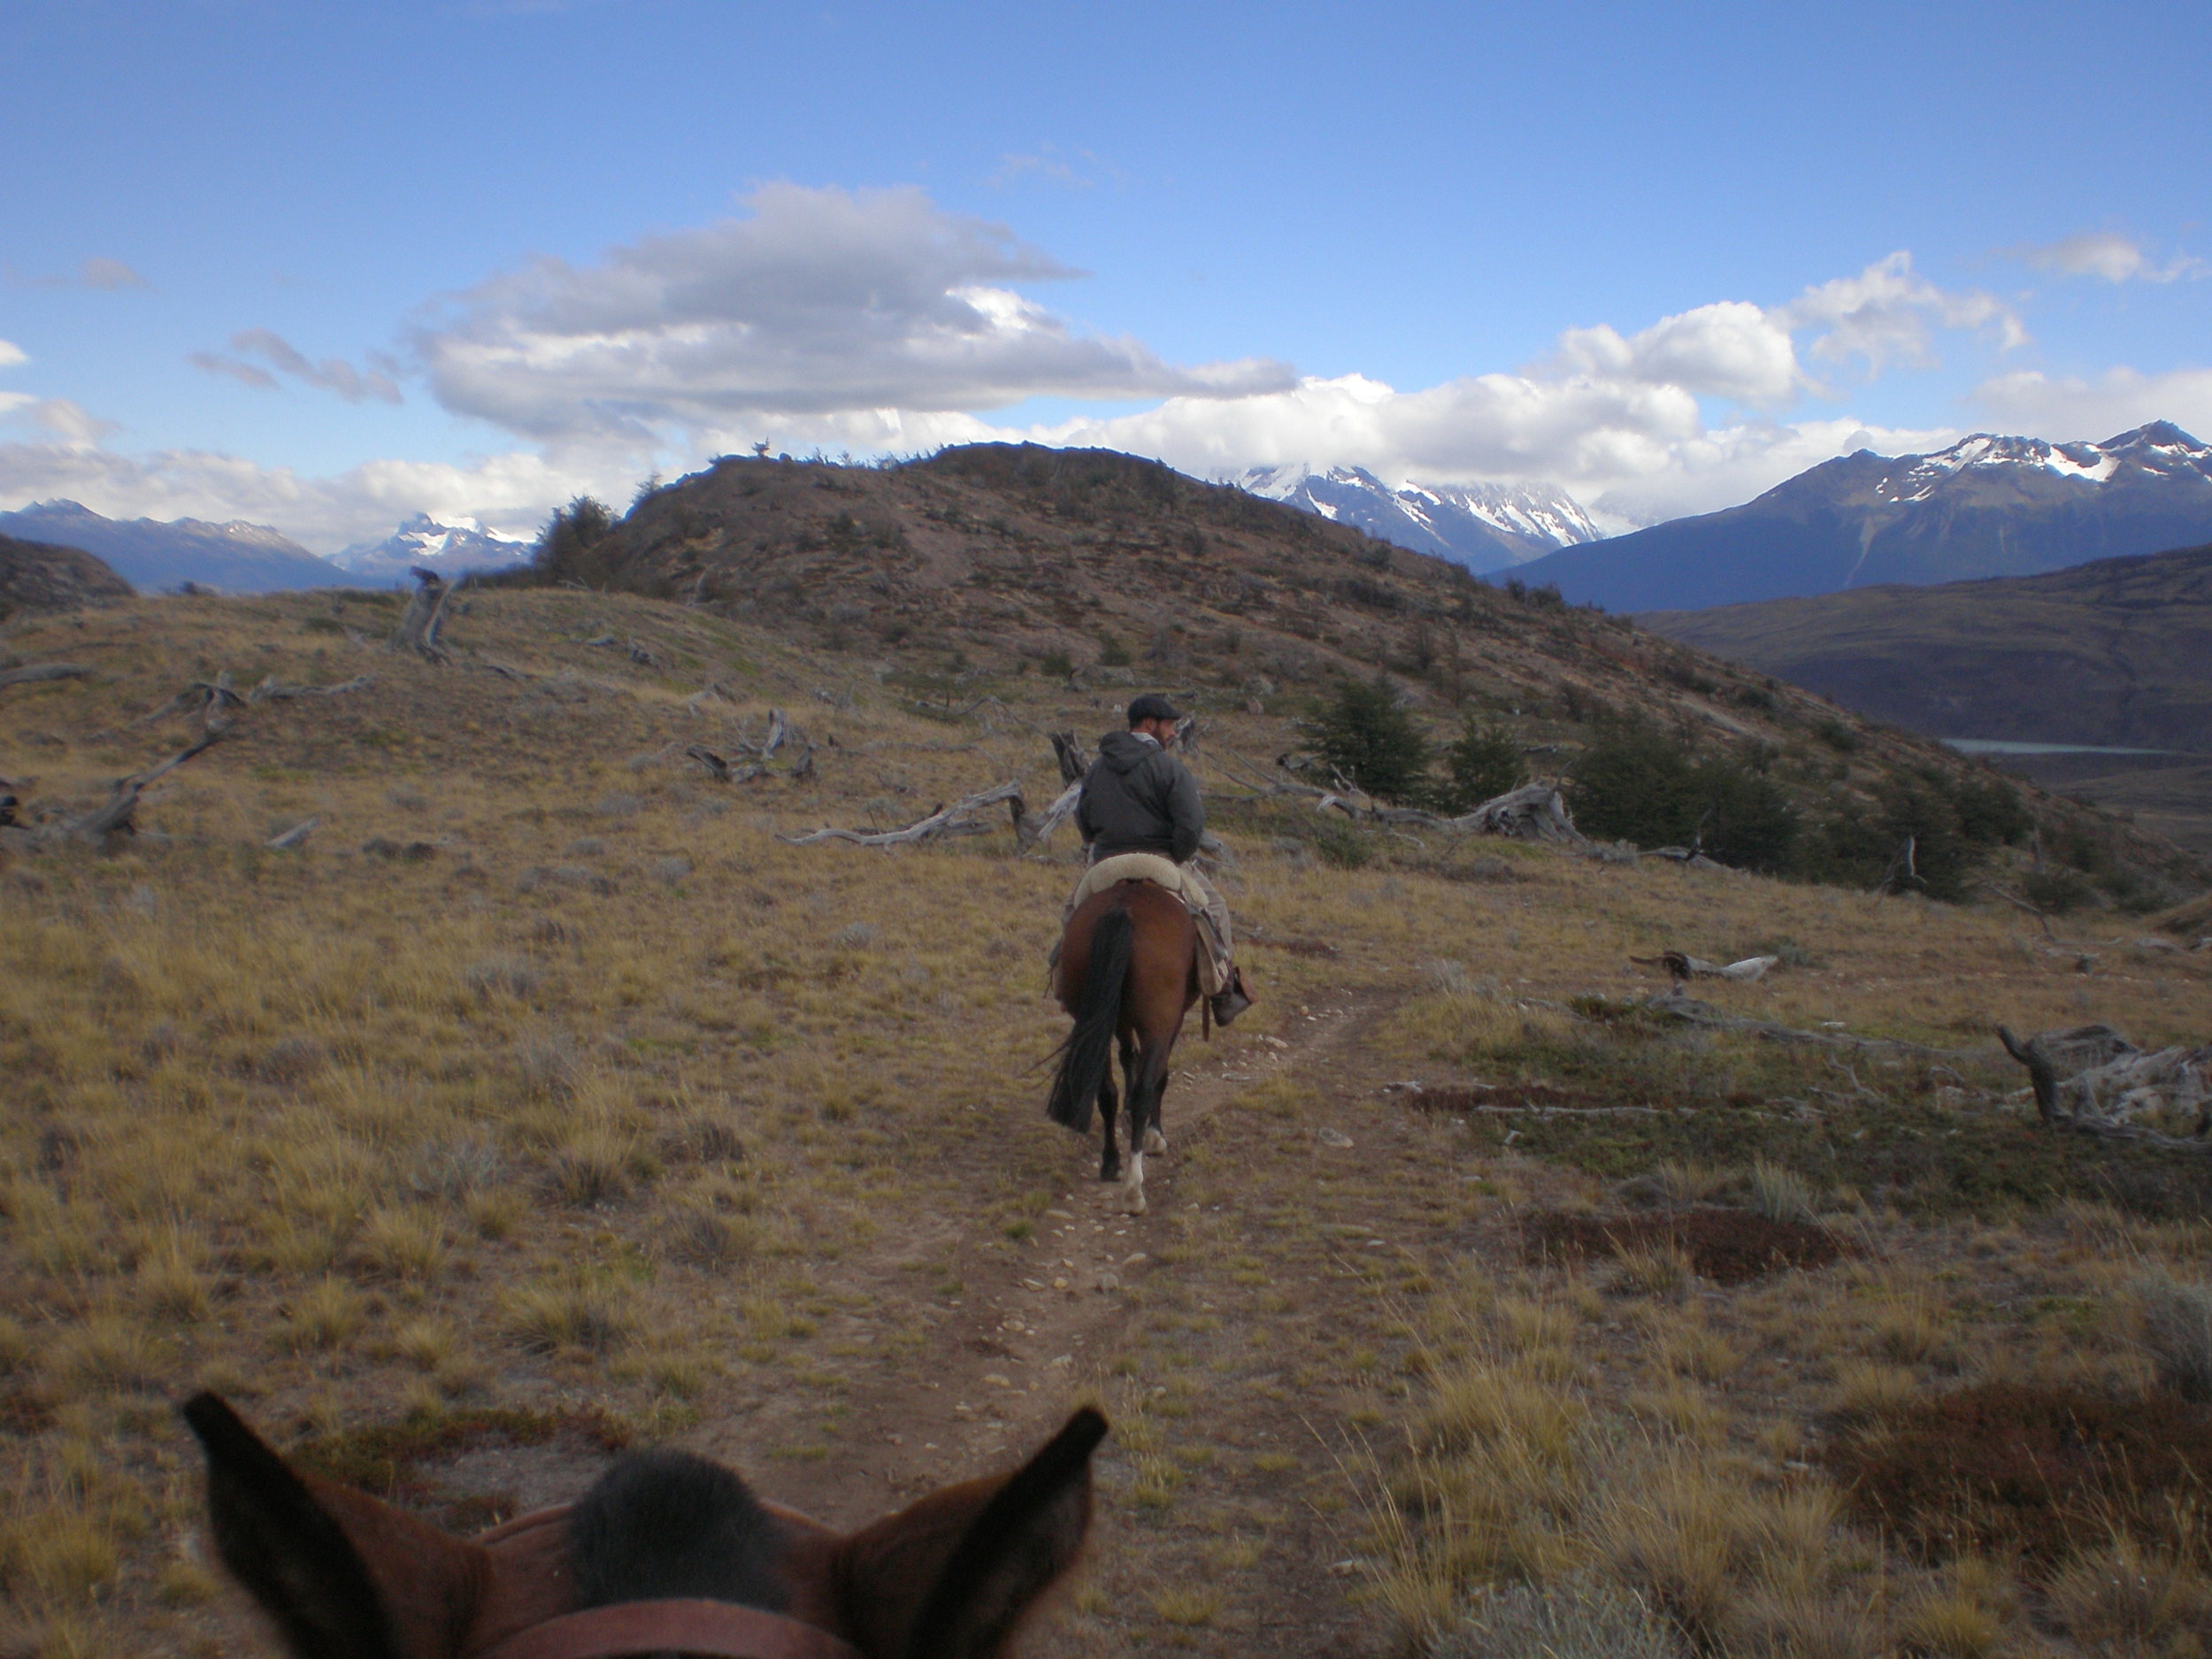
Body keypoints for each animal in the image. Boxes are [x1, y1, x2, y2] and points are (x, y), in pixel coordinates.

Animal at [1048, 885, 1203, 1221]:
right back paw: (1134, 1189)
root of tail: (1123, 909)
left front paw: (1129, 1115)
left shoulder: (1119, 1020)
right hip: (1157, 1021)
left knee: (1105, 1090)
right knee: (1146, 1087)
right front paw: (1154, 1134)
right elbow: (1159, 1075)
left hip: (1094, 1019)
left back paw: (1111, 1163)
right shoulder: (1170, 1021)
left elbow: (1128, 1056)